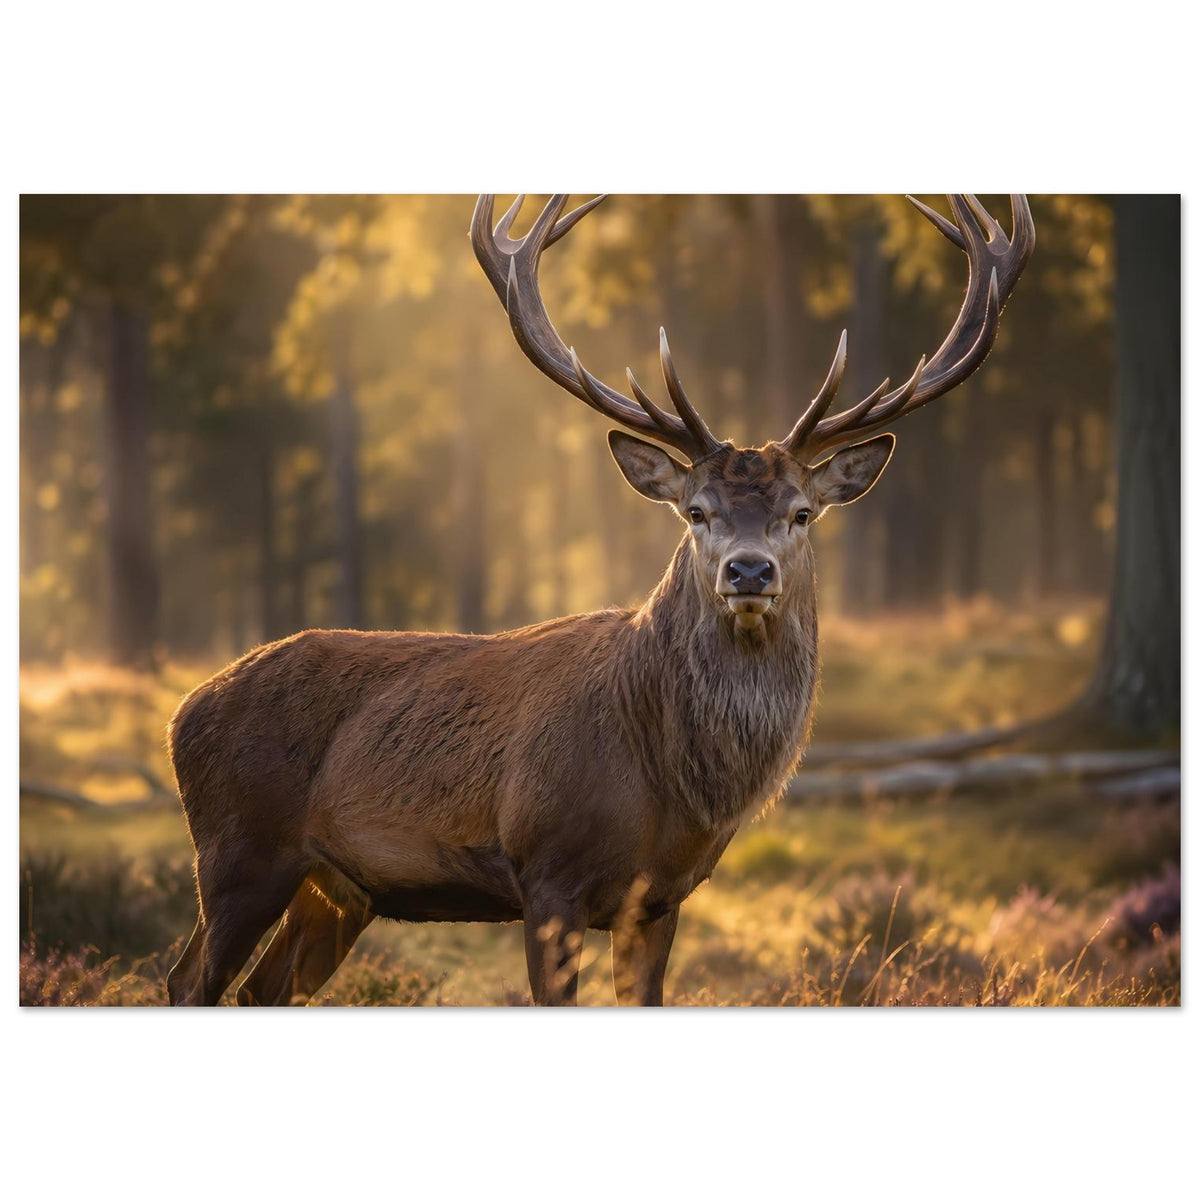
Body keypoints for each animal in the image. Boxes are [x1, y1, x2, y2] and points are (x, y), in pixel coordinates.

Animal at [166, 193, 1034, 1006]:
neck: (666, 786)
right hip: (238, 851)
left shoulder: (661, 899)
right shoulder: (546, 872)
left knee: (261, 987)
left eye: (801, 513)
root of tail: (184, 710)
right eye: (696, 511)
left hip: (338, 887)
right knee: (189, 977)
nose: (749, 573)